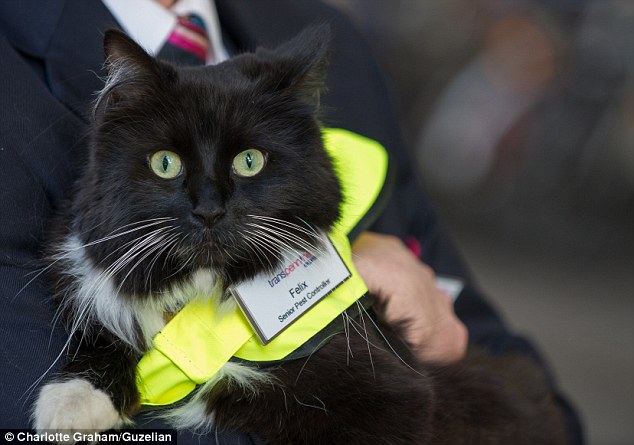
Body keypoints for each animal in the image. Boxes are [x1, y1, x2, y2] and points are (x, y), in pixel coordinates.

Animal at [32, 26, 568, 444]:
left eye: (250, 162)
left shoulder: (399, 398)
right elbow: (111, 333)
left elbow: (232, 394)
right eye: (166, 164)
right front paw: (72, 402)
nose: (209, 210)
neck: (209, 292)